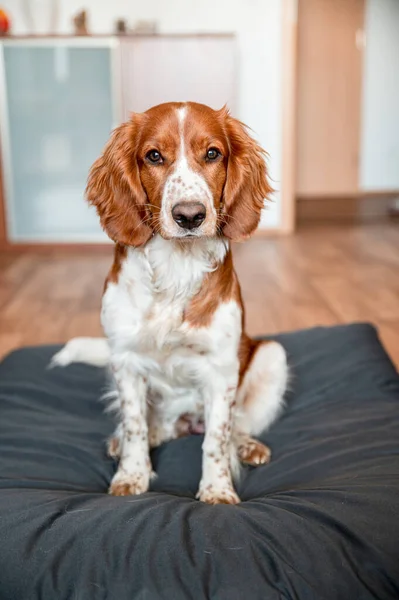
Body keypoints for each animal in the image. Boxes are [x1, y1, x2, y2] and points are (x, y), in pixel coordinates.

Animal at [52, 101, 290, 504]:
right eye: (153, 156)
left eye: (212, 153)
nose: (190, 216)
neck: (176, 269)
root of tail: (183, 423)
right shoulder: (126, 361)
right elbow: (134, 425)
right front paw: (132, 476)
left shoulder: (221, 369)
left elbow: (216, 439)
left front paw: (217, 490)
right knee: (151, 427)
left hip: (272, 355)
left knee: (235, 426)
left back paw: (246, 445)